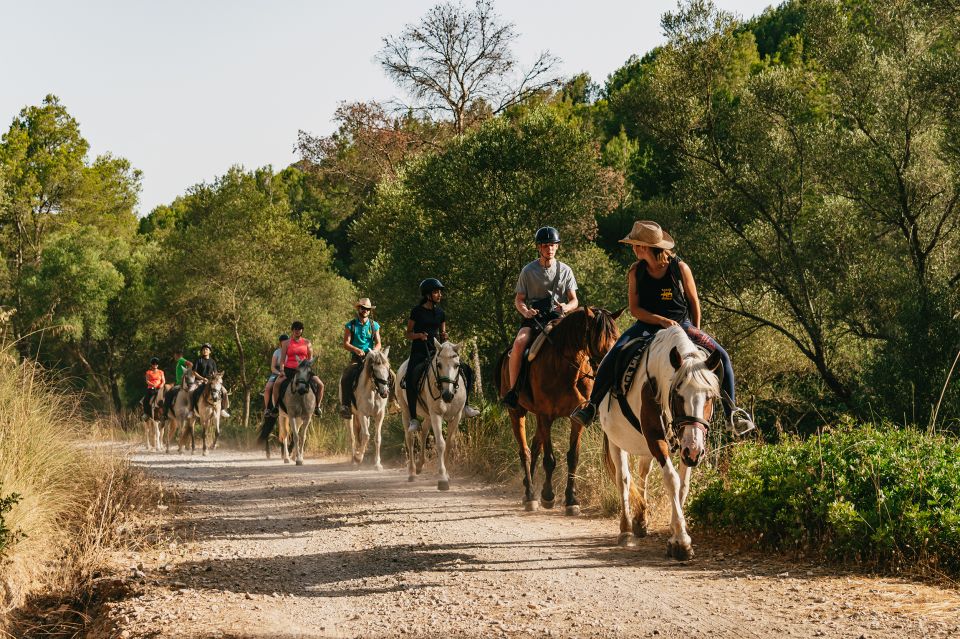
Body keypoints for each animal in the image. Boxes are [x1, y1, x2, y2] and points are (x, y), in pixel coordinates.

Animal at [394, 340, 468, 490]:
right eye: (439, 365)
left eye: (457, 365)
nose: (447, 395)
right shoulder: (436, 415)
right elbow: (440, 443)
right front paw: (443, 478)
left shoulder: (456, 416)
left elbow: (450, 443)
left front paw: (447, 474)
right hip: (406, 412)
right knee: (410, 439)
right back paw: (412, 472)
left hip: (428, 415)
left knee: (423, 432)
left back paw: (419, 465)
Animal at [498, 306, 628, 516]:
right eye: (599, 338)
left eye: (616, 337)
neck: (565, 368)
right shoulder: (545, 416)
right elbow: (549, 460)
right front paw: (548, 496)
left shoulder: (577, 418)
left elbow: (572, 457)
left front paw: (571, 500)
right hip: (517, 413)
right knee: (525, 451)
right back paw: (530, 495)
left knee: (534, 448)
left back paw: (529, 491)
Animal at [600, 328, 720, 564]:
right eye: (678, 396)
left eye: (709, 397)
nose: (695, 450)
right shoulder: (657, 439)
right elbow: (672, 480)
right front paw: (682, 541)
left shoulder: (685, 446)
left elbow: (683, 486)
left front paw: (673, 537)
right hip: (617, 442)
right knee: (623, 479)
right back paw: (626, 530)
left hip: (647, 448)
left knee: (642, 473)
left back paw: (640, 521)